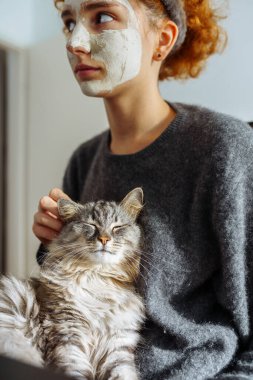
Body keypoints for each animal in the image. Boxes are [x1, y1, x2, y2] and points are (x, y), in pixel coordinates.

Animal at [0, 189, 145, 378]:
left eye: (117, 227)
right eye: (91, 225)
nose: (104, 239)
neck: (97, 279)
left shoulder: (117, 346)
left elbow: (123, 374)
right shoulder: (68, 334)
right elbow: (76, 370)